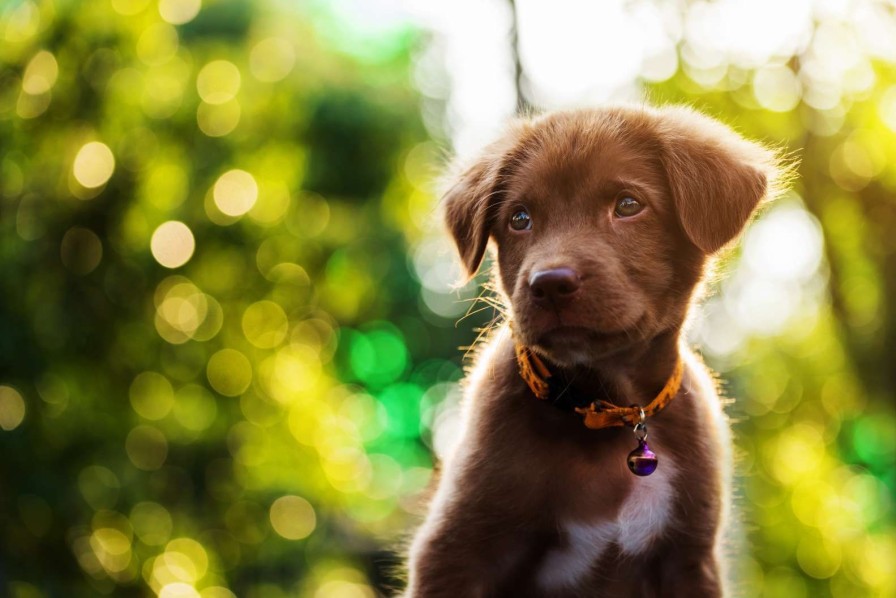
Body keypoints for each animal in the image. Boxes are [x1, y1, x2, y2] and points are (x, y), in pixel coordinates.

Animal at [406, 105, 784, 596]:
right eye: (519, 218)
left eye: (628, 205)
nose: (549, 284)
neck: (607, 410)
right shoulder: (455, 551)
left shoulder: (690, 559)